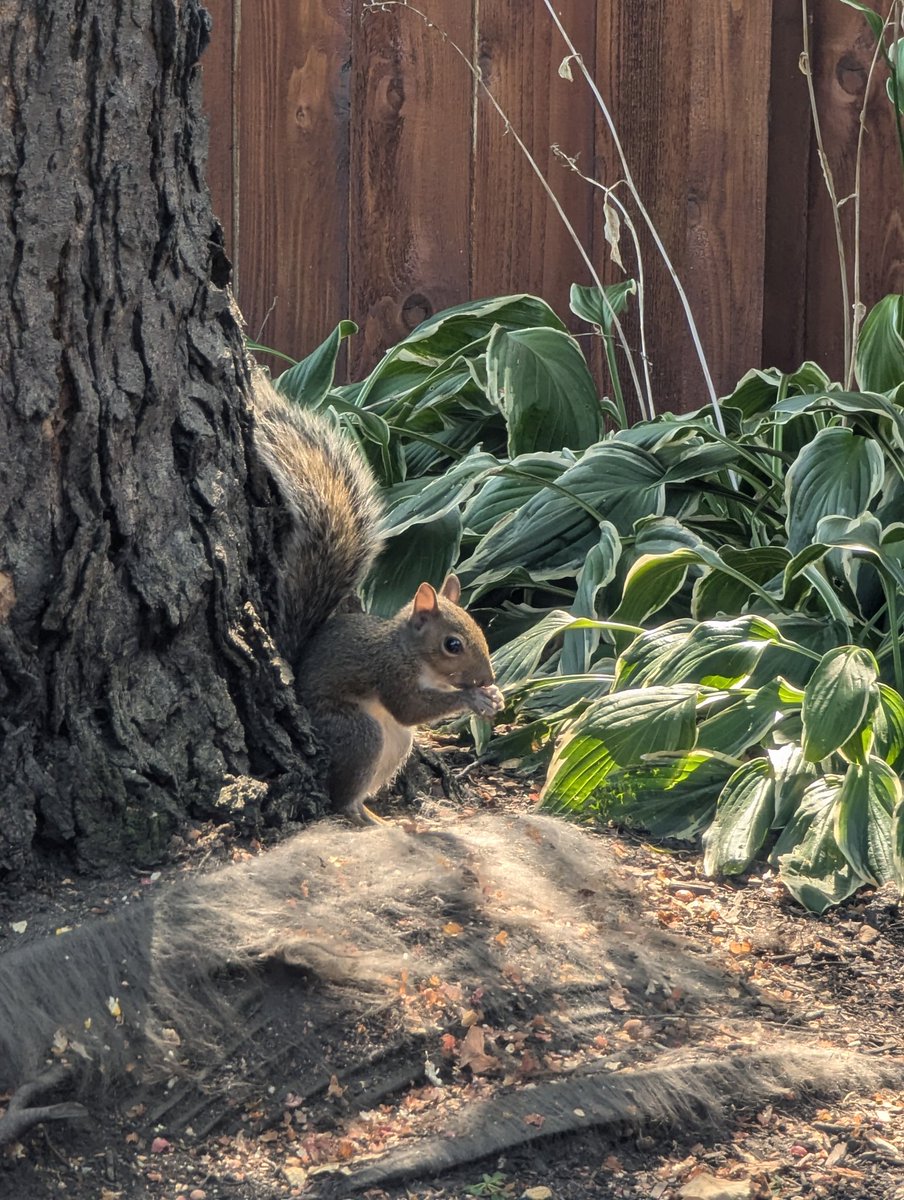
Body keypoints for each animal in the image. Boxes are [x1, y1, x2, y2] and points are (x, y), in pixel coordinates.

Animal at [251, 374, 504, 824]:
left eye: (481, 631)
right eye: (452, 645)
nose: (487, 678)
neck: (412, 654)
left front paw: (493, 697)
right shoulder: (390, 673)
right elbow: (410, 708)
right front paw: (473, 698)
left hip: (397, 744)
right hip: (360, 732)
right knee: (341, 799)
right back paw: (367, 818)